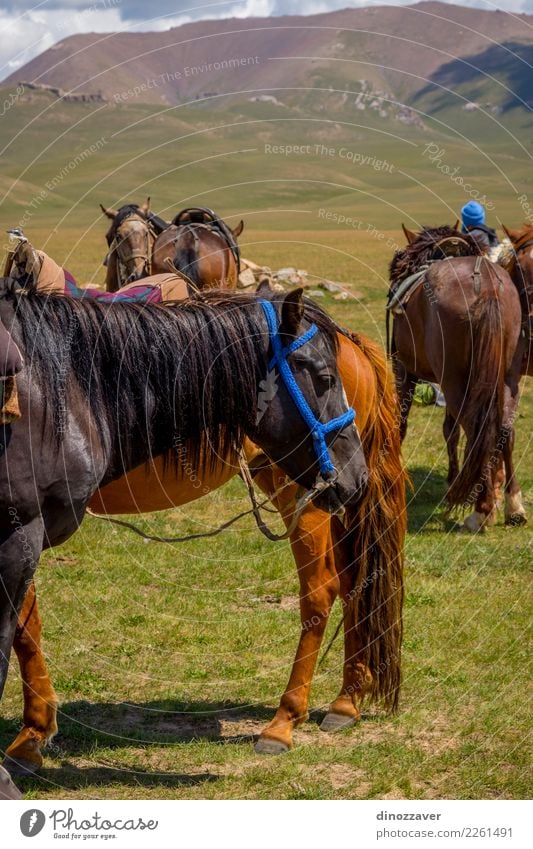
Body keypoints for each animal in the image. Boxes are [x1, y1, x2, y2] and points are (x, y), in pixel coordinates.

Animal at [2, 282, 406, 780]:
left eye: (328, 379)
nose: (356, 474)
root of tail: (355, 342)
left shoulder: (22, 527)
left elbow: (18, 627)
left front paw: (31, 736)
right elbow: (27, 622)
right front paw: (35, 733)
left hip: (304, 494)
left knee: (322, 590)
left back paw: (284, 721)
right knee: (355, 583)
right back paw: (346, 700)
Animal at [386, 225, 524, 528]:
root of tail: (486, 284)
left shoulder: (404, 368)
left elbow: (402, 422)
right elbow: (450, 429)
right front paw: (452, 483)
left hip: (452, 378)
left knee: (476, 428)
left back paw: (482, 509)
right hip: (505, 375)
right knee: (503, 428)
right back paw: (513, 506)